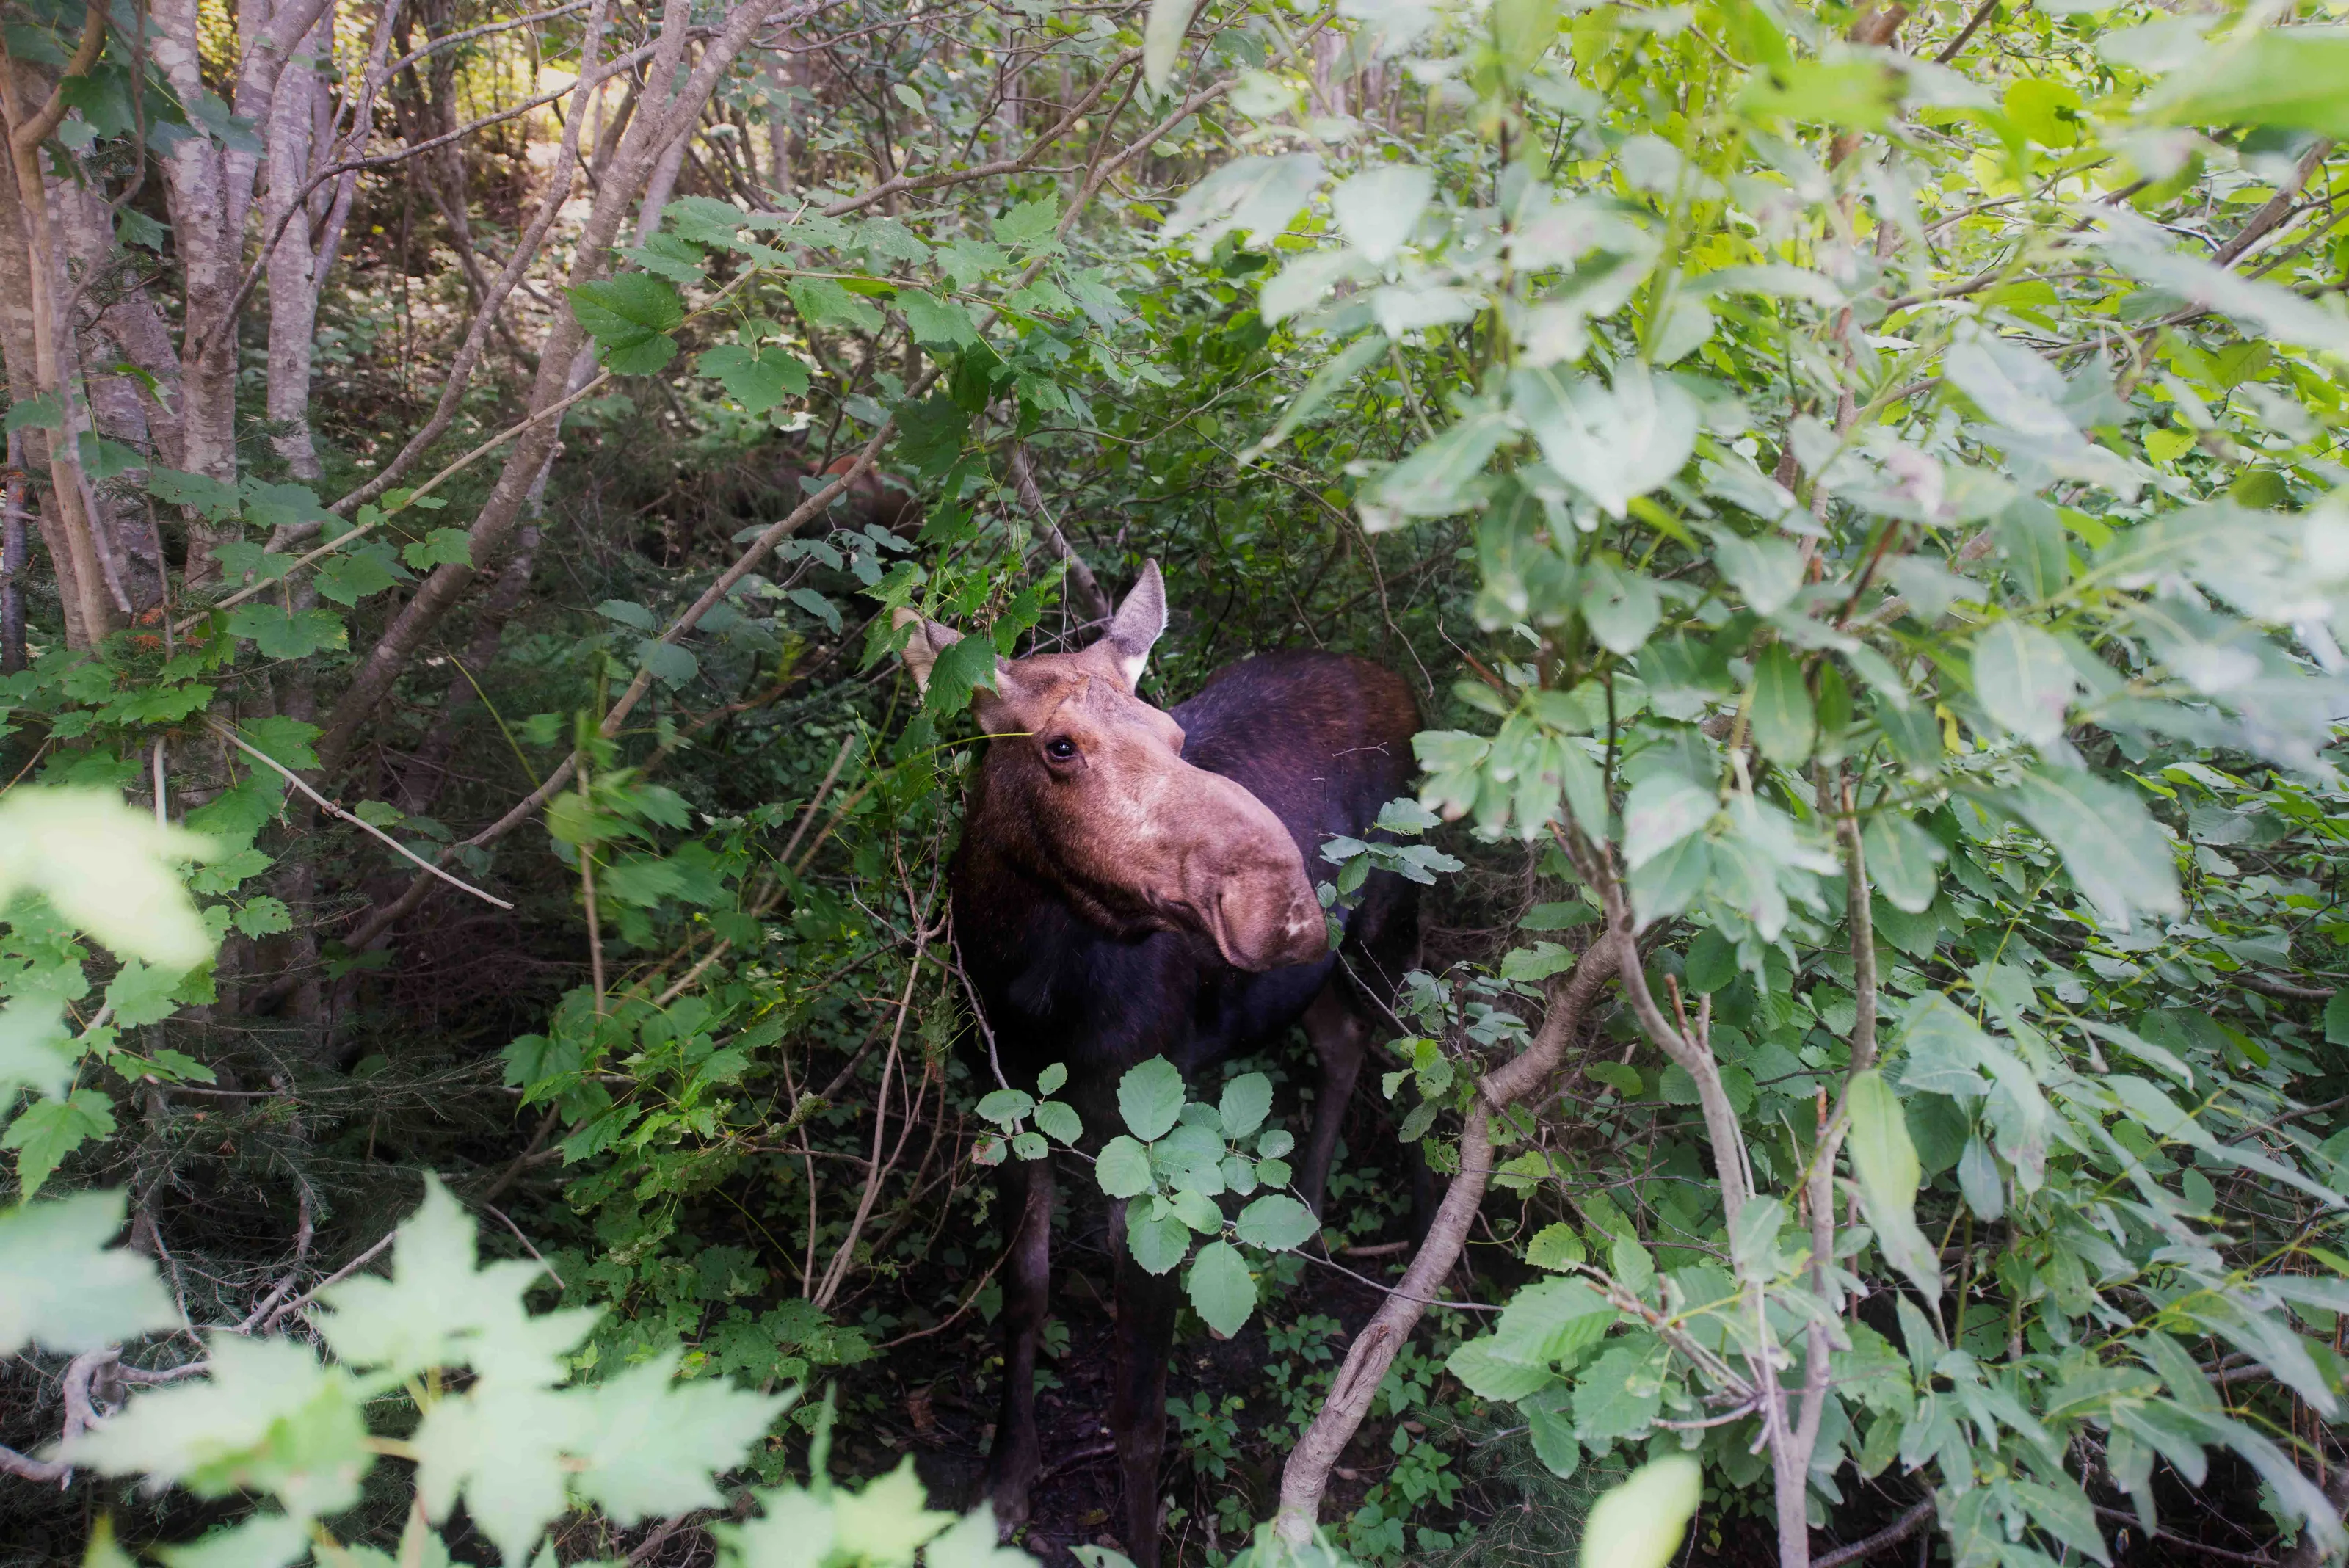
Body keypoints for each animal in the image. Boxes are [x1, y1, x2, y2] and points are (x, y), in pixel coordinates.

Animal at [892, 562, 1422, 1567]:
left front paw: (1140, 1539)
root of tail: (1397, 678)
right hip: (1320, 980)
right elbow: (1024, 1297)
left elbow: (1139, 1408)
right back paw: (1304, 1220)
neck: (1027, 988)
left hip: (1392, 939)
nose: (1285, 906)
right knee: (1338, 1045)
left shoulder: (1154, 1154)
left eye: (1176, 734)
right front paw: (1003, 1487)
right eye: (1059, 746)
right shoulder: (1008, 1107)